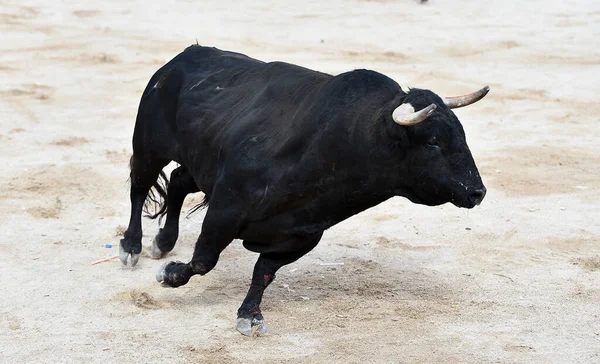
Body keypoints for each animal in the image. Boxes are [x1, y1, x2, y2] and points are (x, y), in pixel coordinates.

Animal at [117, 44, 488, 336]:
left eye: (461, 134)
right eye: (434, 141)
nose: (477, 192)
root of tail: (182, 58)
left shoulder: (302, 234)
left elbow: (264, 272)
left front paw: (249, 315)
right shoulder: (226, 209)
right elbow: (203, 260)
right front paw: (170, 275)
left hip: (201, 162)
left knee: (179, 181)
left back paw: (163, 241)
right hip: (149, 145)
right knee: (139, 188)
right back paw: (132, 245)